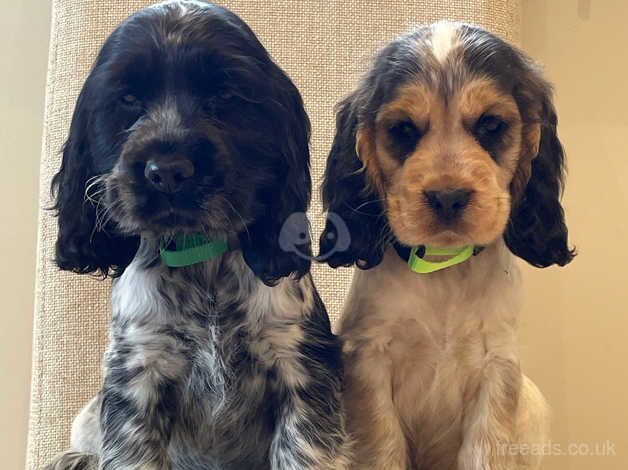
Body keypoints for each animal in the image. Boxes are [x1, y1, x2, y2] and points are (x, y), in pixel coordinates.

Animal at [46, 1, 350, 468]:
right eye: (127, 99)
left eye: (225, 97)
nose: (169, 170)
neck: (200, 258)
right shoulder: (136, 375)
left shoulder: (300, 367)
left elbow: (304, 450)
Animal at [318, 22, 576, 470]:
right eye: (404, 129)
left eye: (490, 125)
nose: (448, 197)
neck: (444, 268)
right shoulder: (369, 358)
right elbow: (382, 447)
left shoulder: (498, 367)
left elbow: (486, 451)